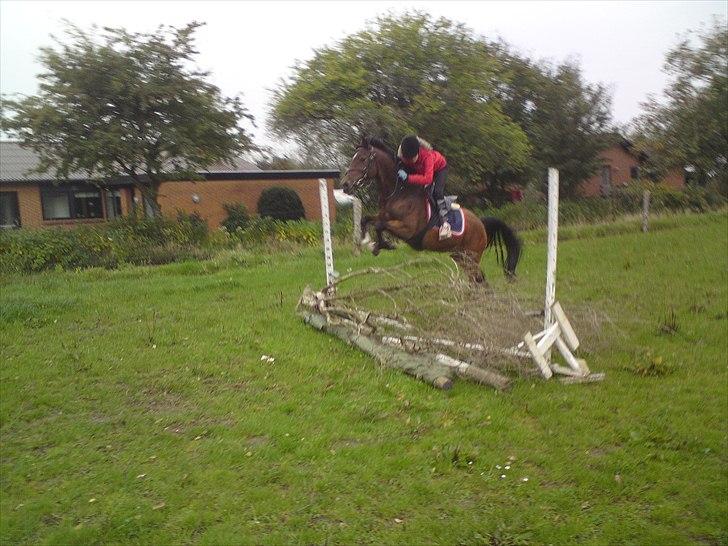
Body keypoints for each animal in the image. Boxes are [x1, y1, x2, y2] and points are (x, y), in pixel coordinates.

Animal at [341, 137, 522, 284]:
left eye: (362, 159)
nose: (345, 184)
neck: (399, 193)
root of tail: (481, 223)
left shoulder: (408, 230)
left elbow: (379, 226)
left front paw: (382, 245)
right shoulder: (383, 216)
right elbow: (367, 220)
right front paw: (369, 242)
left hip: (472, 255)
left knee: (479, 279)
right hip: (459, 256)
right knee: (477, 280)